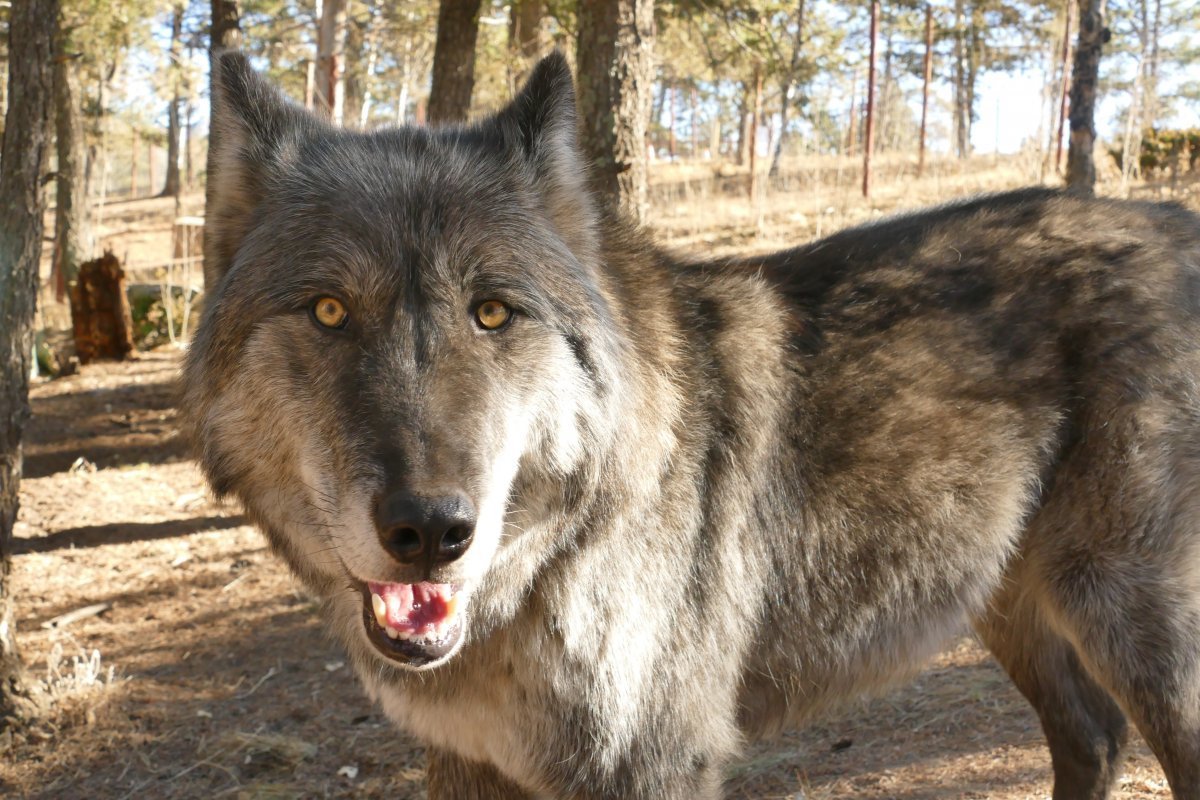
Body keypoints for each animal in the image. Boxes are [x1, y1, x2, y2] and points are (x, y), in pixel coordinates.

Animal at [182, 53, 1200, 796]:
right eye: (327, 312)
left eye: (493, 313)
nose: (431, 530)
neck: (555, 566)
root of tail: (1175, 221)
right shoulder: (468, 761)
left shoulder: (653, 766)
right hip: (1009, 602)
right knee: (1093, 739)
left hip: (1127, 623)